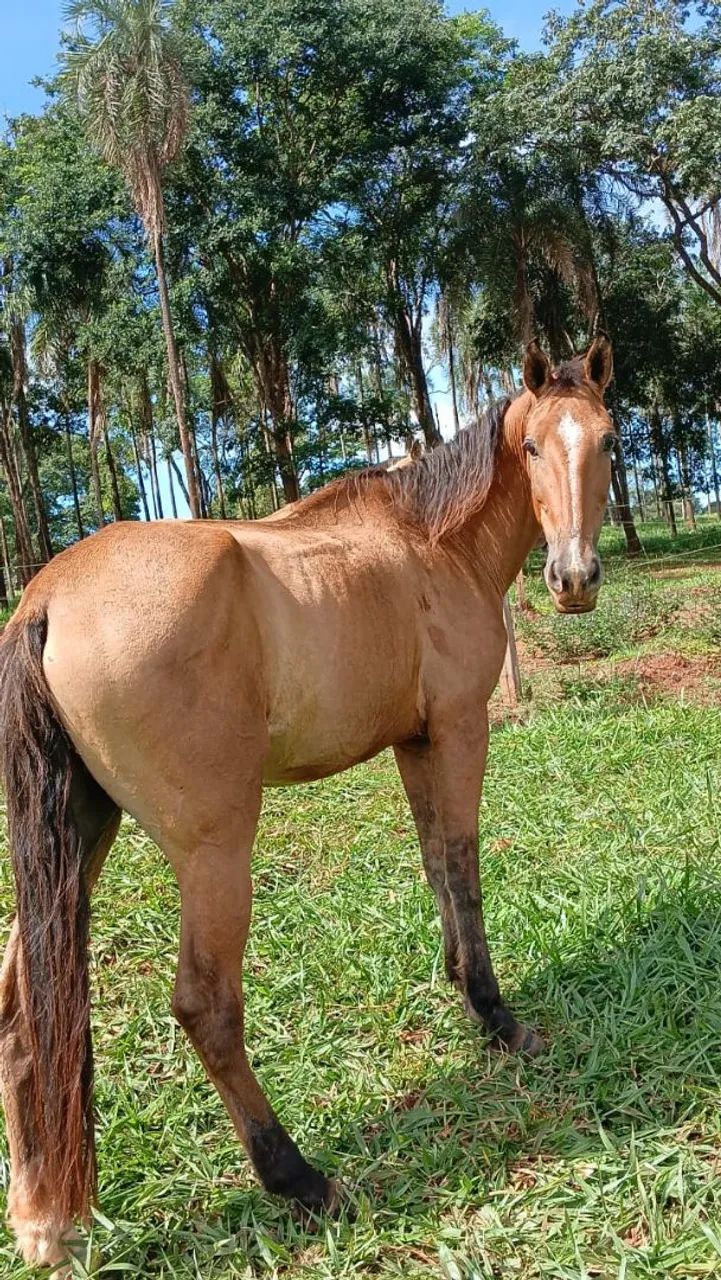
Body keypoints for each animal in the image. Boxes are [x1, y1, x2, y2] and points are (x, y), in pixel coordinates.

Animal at [0, 336, 615, 1268]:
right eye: (534, 446)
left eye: (607, 440)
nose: (573, 579)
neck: (429, 542)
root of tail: (46, 596)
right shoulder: (460, 729)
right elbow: (464, 864)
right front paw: (497, 1017)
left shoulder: (413, 741)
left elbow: (435, 865)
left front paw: (457, 982)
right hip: (214, 852)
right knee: (206, 1006)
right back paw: (298, 1178)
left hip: (80, 832)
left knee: (19, 1006)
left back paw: (41, 1216)